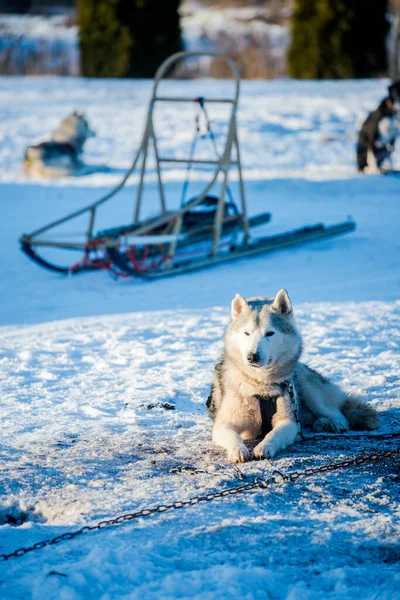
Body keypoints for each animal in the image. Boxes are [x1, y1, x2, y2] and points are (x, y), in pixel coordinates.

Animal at [208, 290, 380, 464]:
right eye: (246, 333)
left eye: (270, 333)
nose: (252, 356)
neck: (261, 385)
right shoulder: (223, 425)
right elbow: (232, 436)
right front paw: (238, 450)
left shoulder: (288, 421)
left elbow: (274, 434)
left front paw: (265, 446)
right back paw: (320, 423)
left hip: (311, 393)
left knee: (340, 416)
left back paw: (332, 423)